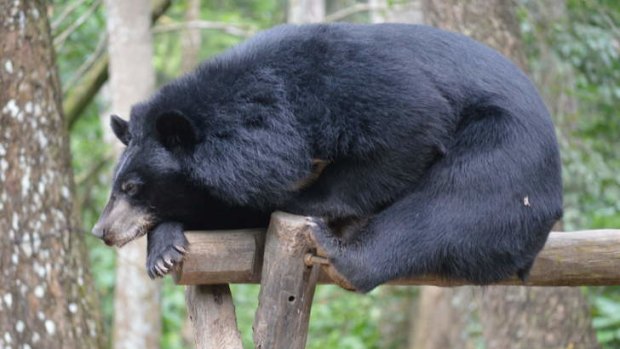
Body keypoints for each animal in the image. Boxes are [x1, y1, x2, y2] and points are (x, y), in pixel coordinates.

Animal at [91, 23, 560, 292]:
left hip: (507, 152)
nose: (101, 231)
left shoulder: (348, 87)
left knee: (453, 206)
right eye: (117, 186)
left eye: (132, 187)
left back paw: (341, 255)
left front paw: (308, 203)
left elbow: (411, 124)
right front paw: (165, 248)